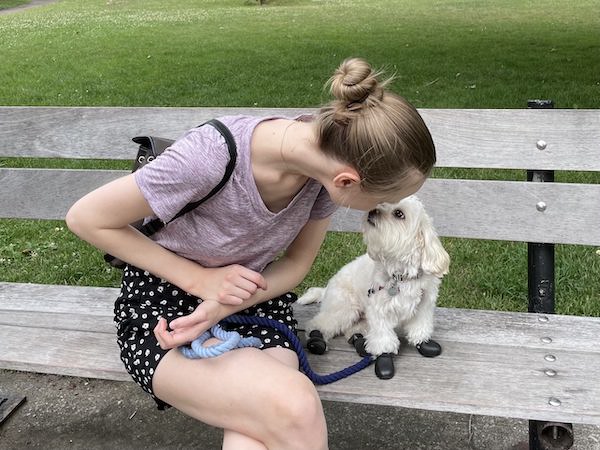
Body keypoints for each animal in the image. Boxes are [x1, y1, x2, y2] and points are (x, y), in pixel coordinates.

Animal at [298, 197, 448, 380]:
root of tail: (326, 288)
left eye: (399, 213)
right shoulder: (379, 311)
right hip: (344, 309)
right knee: (317, 324)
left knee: (351, 331)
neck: (401, 276)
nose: (372, 211)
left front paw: (423, 343)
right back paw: (317, 341)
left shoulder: (424, 305)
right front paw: (384, 359)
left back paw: (360, 343)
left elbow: (420, 326)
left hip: (361, 320)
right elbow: (383, 339)